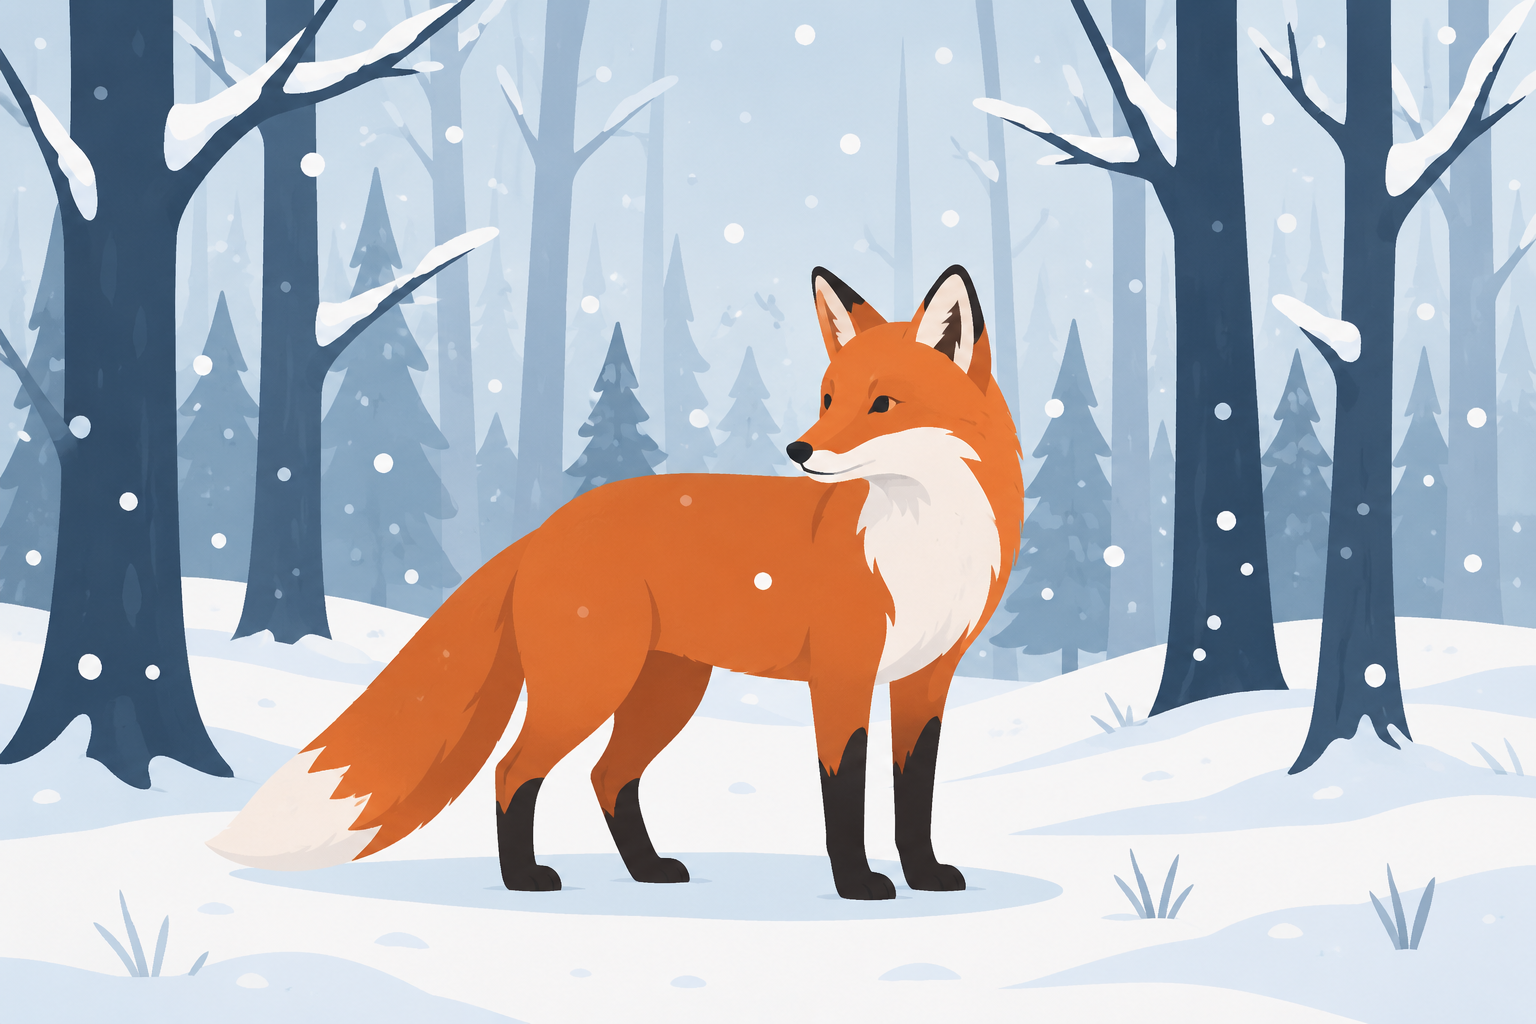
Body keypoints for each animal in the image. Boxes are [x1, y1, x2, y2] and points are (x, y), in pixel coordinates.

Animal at [207, 264, 1023, 900]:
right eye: (828, 399)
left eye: (882, 404)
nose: (800, 449)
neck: (924, 540)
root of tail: (543, 529)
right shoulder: (842, 677)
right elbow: (844, 793)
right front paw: (857, 885)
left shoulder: (925, 681)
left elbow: (914, 794)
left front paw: (925, 876)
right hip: (590, 685)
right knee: (513, 770)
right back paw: (524, 879)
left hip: (662, 691)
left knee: (606, 777)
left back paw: (647, 870)